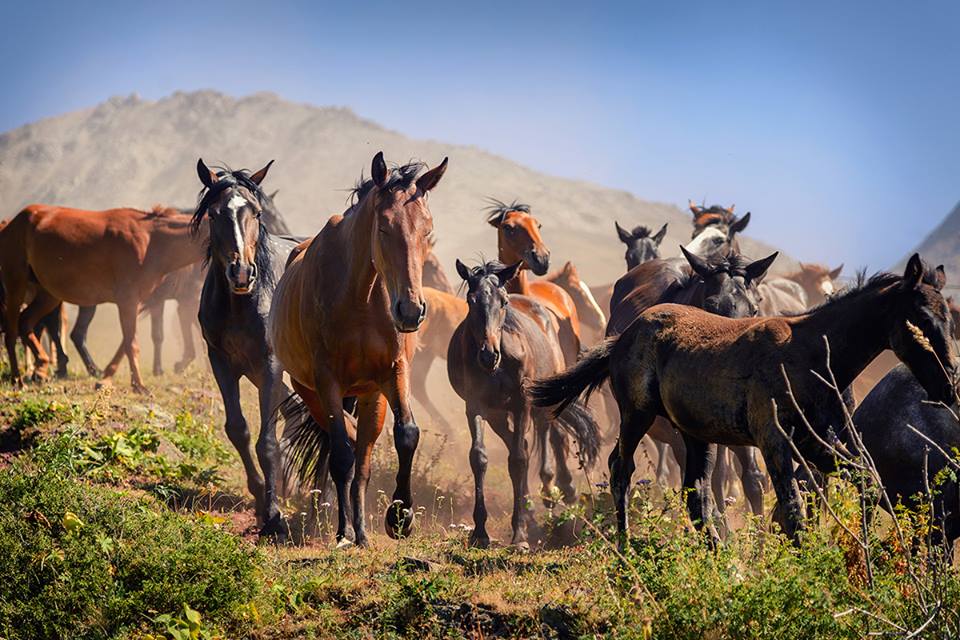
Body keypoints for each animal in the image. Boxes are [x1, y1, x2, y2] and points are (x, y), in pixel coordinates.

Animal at [0, 205, 208, 390]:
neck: (151, 241)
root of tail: (12, 223)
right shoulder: (130, 300)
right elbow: (132, 343)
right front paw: (139, 385)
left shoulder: (140, 302)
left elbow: (128, 341)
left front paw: (109, 377)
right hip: (16, 285)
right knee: (12, 332)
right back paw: (18, 379)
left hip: (48, 294)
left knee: (28, 322)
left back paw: (42, 366)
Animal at [272, 150, 448, 544]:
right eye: (383, 228)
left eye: (427, 230)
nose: (410, 310)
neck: (361, 297)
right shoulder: (326, 381)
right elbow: (341, 455)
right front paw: (345, 531)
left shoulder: (394, 372)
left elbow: (406, 435)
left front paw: (400, 517)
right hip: (310, 390)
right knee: (347, 451)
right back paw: (347, 529)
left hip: (371, 396)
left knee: (363, 456)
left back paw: (364, 532)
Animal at [448, 258, 600, 548]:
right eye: (471, 300)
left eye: (503, 302)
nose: (488, 355)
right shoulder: (475, 406)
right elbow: (479, 457)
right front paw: (480, 532)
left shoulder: (522, 405)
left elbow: (518, 460)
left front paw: (519, 534)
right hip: (498, 415)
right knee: (526, 444)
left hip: (540, 403)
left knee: (550, 437)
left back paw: (558, 492)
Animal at [528, 252, 956, 544]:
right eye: (921, 319)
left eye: (949, 319)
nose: (949, 384)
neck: (810, 356)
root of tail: (625, 334)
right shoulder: (775, 442)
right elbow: (793, 507)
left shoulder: (820, 445)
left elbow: (866, 484)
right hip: (638, 416)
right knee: (622, 468)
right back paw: (626, 549)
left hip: (695, 435)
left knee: (697, 492)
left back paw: (719, 556)